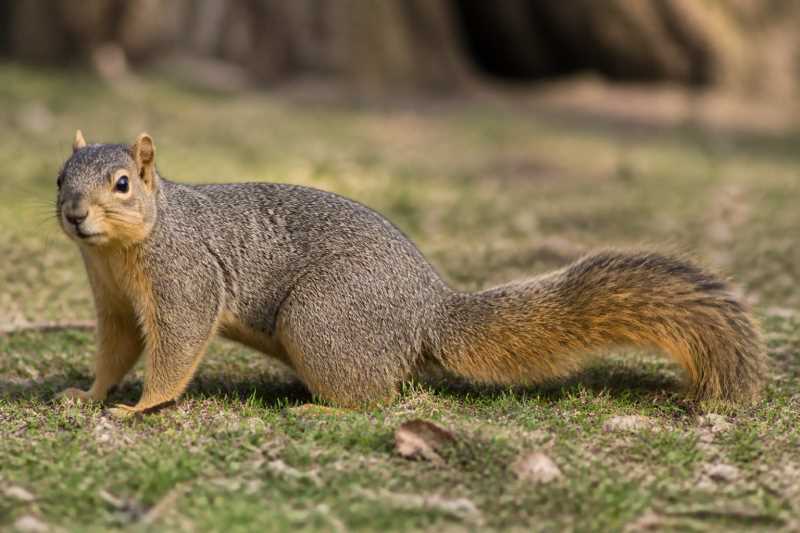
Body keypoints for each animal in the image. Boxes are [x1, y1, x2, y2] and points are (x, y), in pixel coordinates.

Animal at [55, 130, 766, 416]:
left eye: (123, 183)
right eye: (59, 177)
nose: (74, 214)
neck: (120, 252)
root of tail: (427, 311)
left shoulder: (187, 277)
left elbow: (177, 345)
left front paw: (142, 407)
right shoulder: (113, 300)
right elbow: (118, 347)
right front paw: (88, 395)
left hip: (322, 319)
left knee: (376, 398)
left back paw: (322, 411)